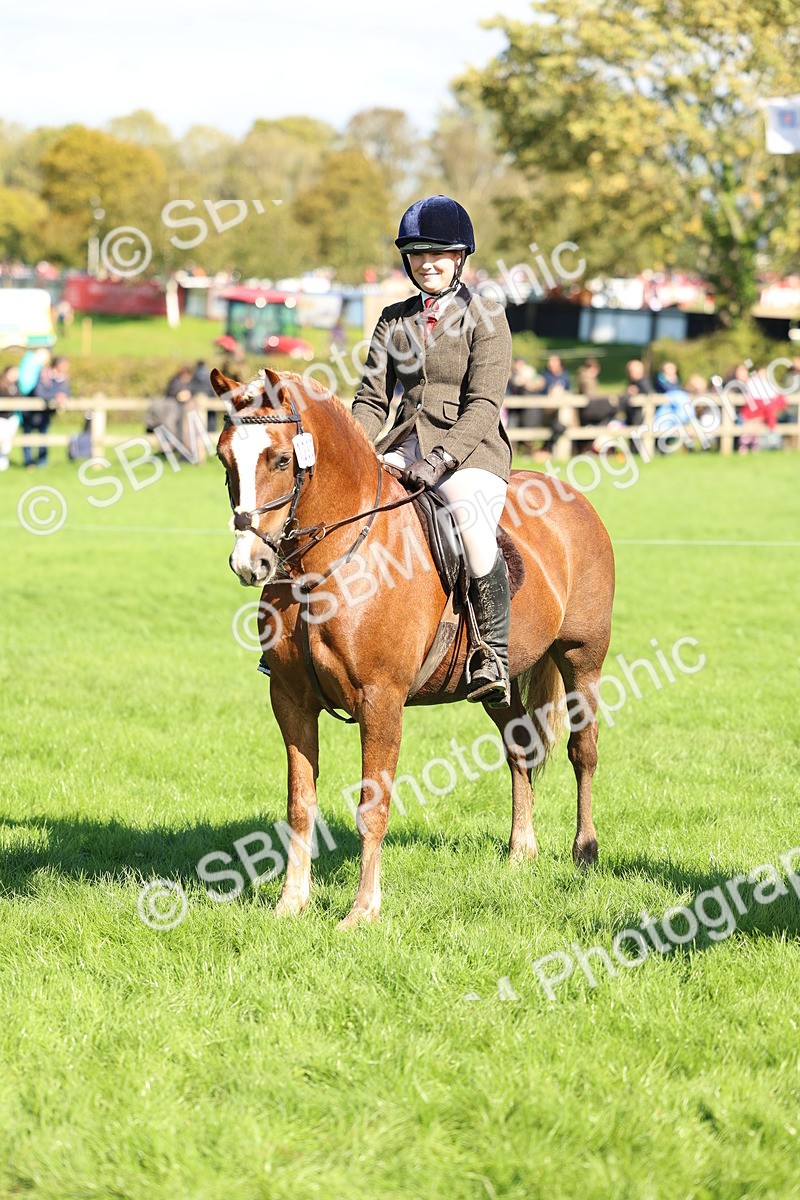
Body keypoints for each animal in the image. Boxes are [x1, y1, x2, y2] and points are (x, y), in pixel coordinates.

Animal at [211, 366, 615, 928]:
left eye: (281, 459)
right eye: (224, 458)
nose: (249, 564)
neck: (326, 564)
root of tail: (570, 494)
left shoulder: (381, 702)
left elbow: (372, 806)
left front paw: (362, 911)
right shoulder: (290, 701)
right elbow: (299, 803)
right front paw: (291, 902)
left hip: (582, 660)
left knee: (583, 751)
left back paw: (585, 850)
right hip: (498, 685)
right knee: (519, 748)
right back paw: (521, 851)